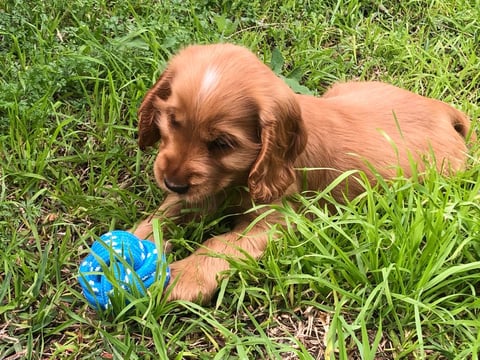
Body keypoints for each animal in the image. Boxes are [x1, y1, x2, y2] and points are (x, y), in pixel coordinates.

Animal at [133, 43, 474, 306]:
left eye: (222, 143)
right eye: (172, 121)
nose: (172, 182)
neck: (241, 180)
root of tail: (443, 110)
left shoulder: (280, 219)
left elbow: (224, 243)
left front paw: (184, 276)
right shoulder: (206, 192)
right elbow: (164, 214)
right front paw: (130, 244)